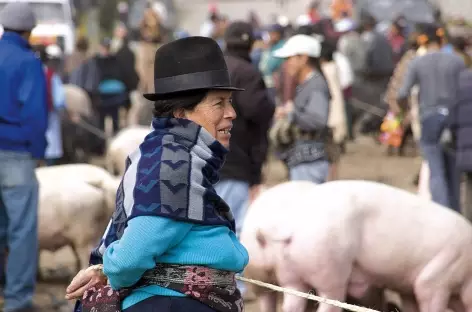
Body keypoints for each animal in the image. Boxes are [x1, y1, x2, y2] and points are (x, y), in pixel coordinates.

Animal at [243, 179, 472, 312]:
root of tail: (286, 224)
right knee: (328, 302)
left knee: (286, 304)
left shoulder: (407, 287)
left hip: (284, 276)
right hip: (330, 268)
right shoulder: (436, 279)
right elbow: (429, 296)